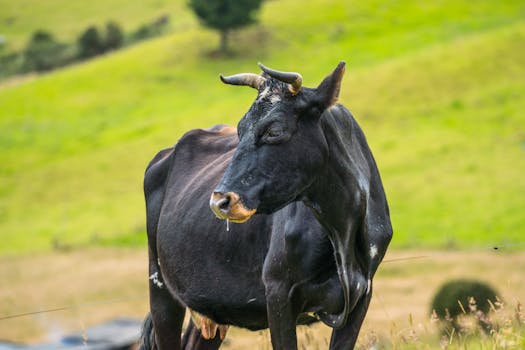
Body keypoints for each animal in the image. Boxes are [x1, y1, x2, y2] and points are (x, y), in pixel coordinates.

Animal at [137, 61, 390, 348]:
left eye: (274, 130)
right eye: (240, 130)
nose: (220, 200)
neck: (342, 230)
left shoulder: (361, 296)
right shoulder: (278, 291)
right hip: (160, 287)